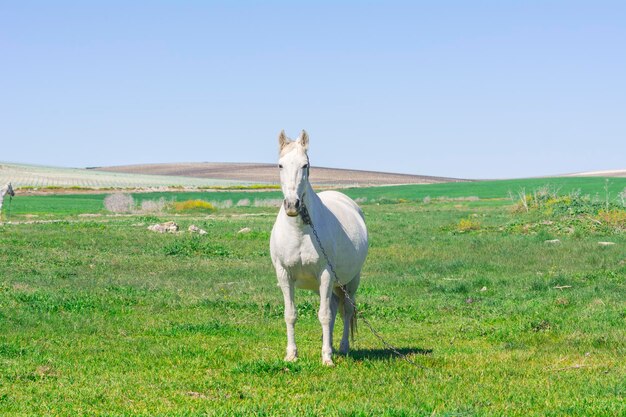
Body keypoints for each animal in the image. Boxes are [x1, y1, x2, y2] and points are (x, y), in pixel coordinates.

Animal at [268, 129, 366, 364]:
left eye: (305, 165)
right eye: (280, 165)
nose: (292, 205)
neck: (300, 231)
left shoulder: (326, 274)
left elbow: (324, 315)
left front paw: (327, 358)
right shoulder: (284, 275)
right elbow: (290, 315)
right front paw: (291, 355)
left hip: (350, 281)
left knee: (346, 310)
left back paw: (342, 347)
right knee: (333, 306)